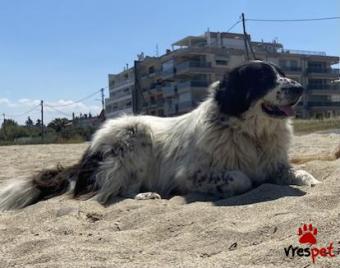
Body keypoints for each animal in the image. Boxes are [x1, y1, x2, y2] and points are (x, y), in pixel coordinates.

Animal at [0, 61, 318, 211]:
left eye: (282, 73)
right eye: (263, 78)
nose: (300, 88)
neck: (251, 133)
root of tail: (87, 152)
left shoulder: (273, 162)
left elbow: (298, 172)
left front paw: (309, 180)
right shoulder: (190, 174)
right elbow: (242, 178)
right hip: (133, 137)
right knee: (110, 192)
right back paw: (146, 194)